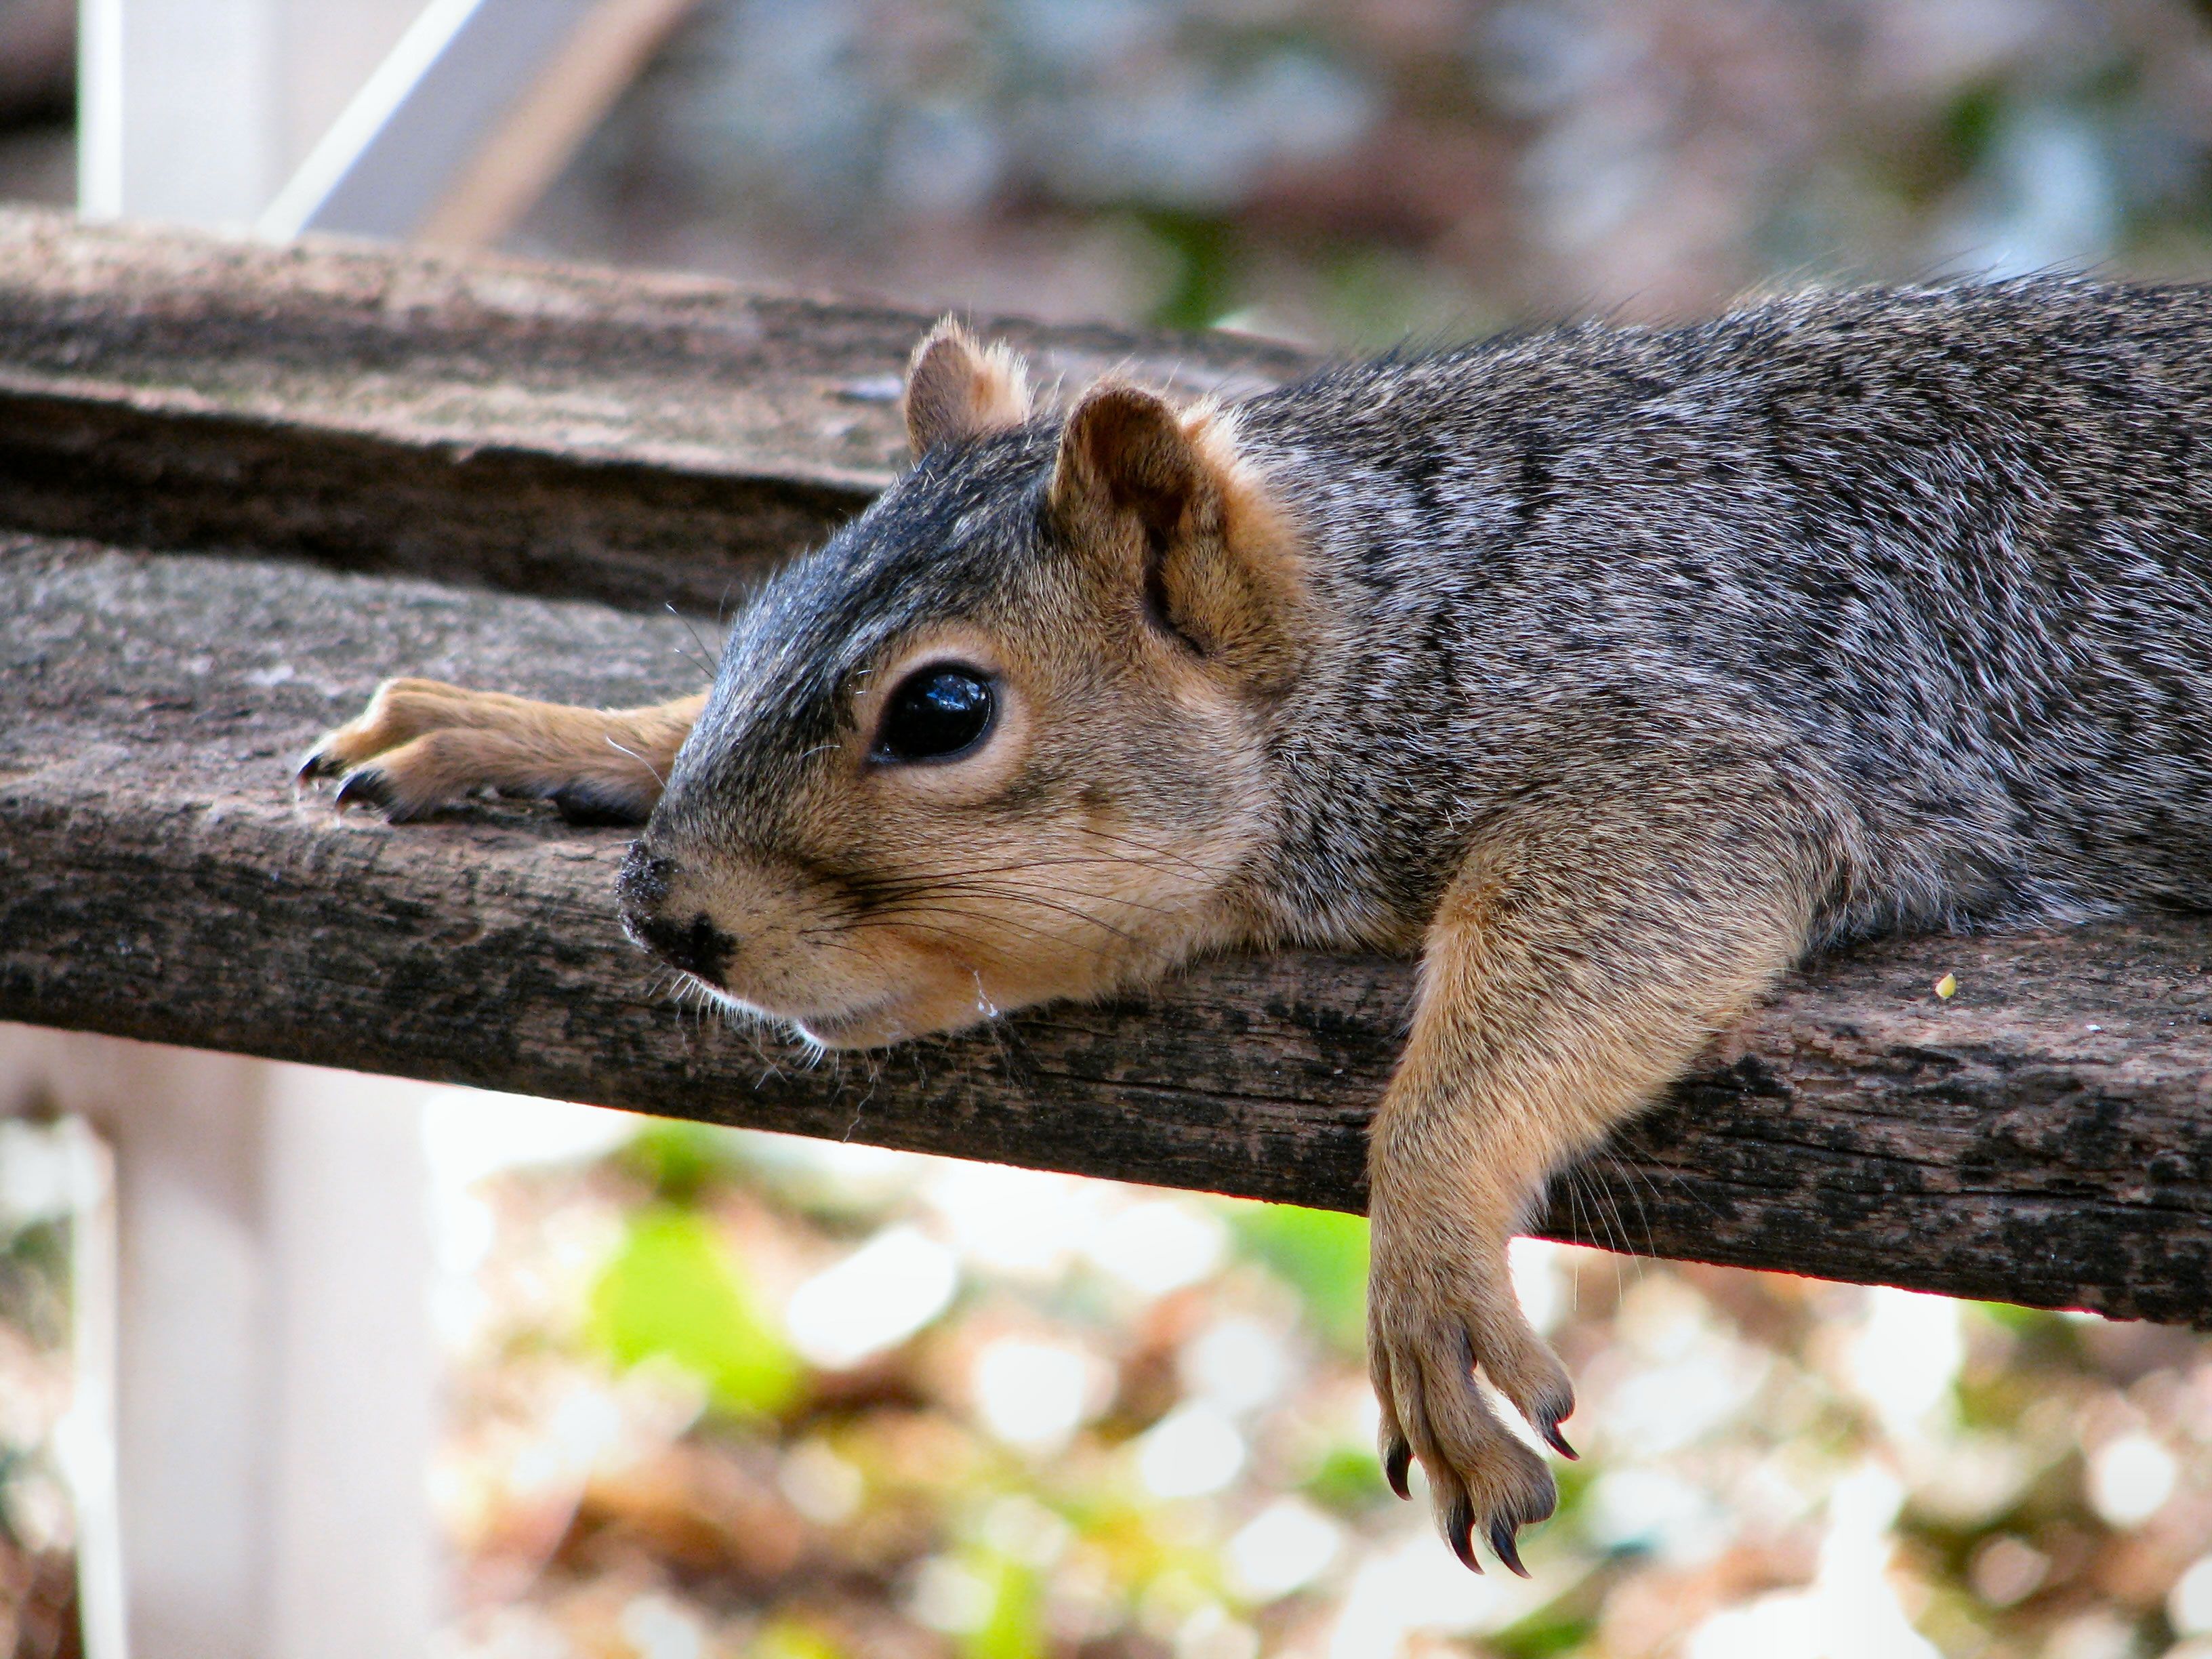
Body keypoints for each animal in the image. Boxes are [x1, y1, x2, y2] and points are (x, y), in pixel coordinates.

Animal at [303, 279, 2212, 1574]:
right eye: (749, 618)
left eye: (943, 711)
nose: (669, 915)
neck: (1407, 602)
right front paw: (529, 727)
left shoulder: (1704, 749)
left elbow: (1602, 942)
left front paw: (1429, 1257)